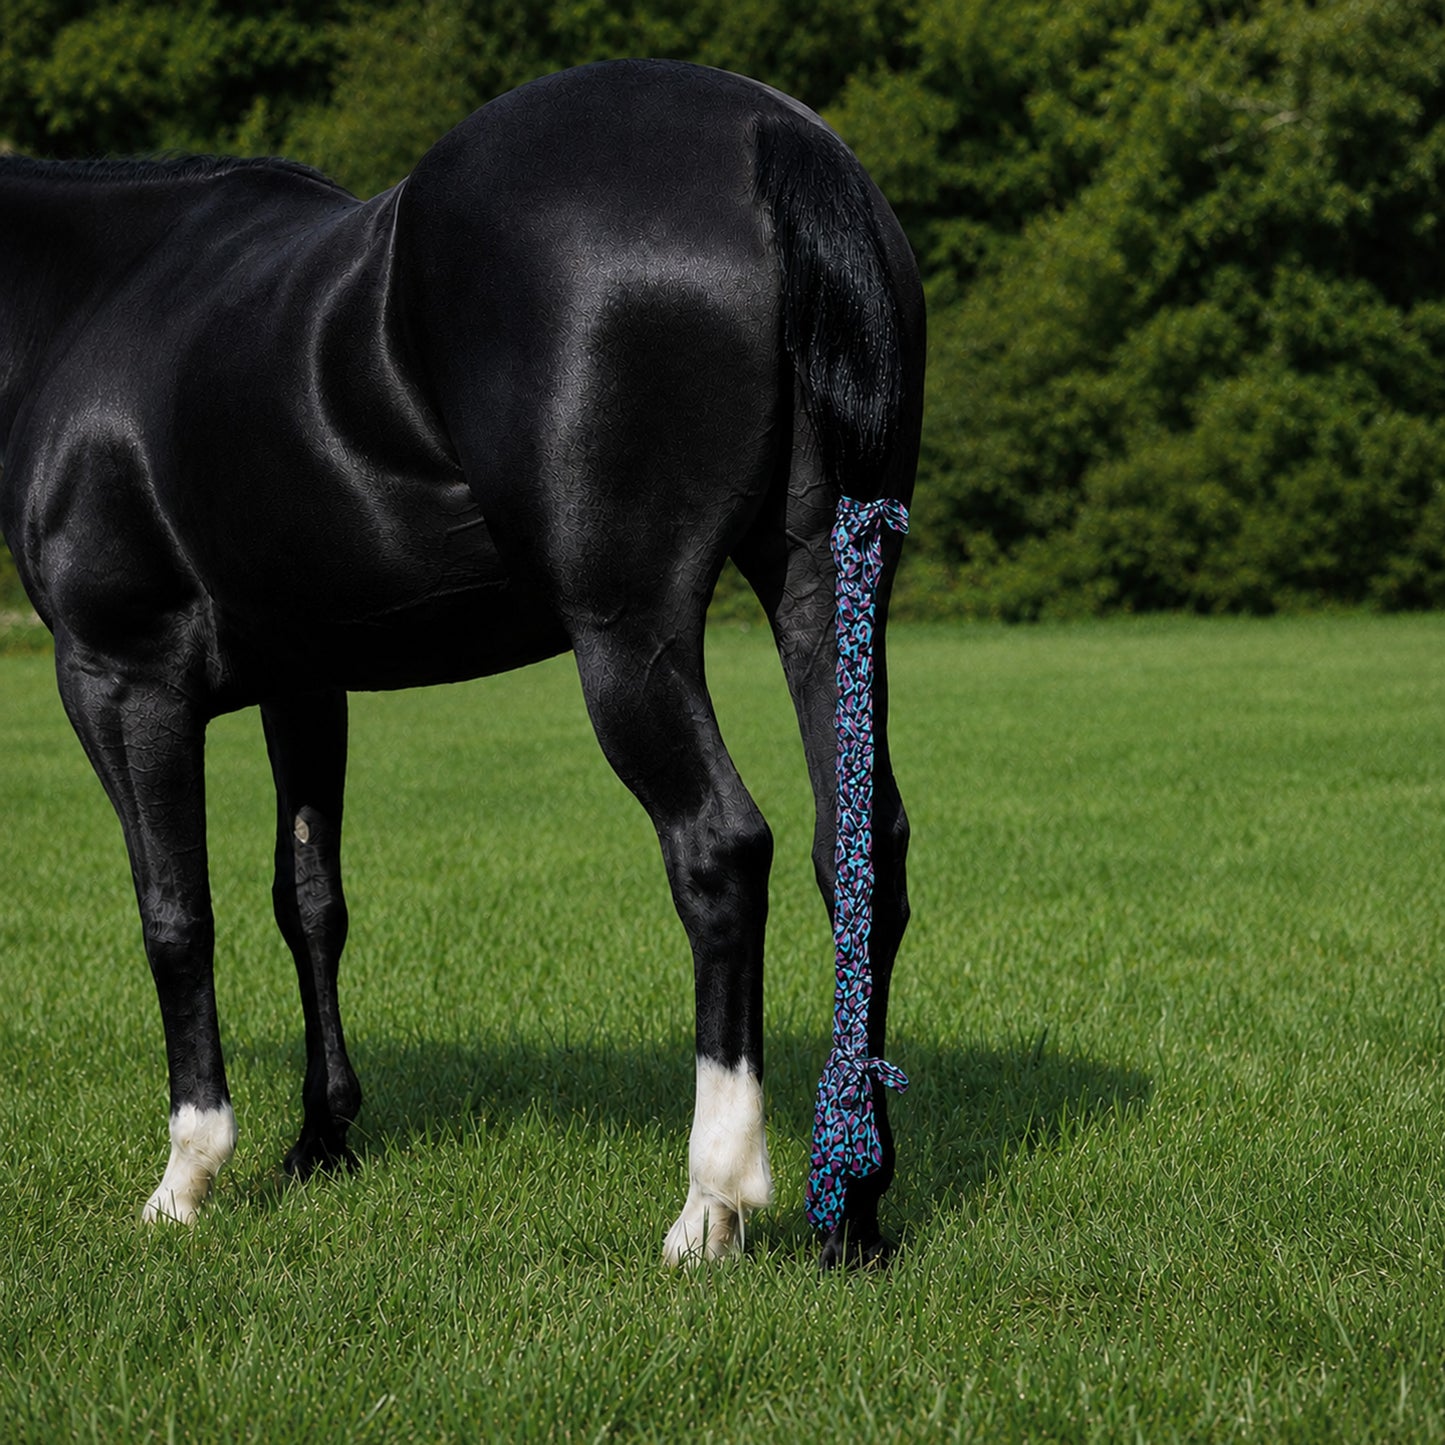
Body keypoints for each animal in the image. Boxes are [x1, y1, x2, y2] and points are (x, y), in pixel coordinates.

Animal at [0, 59, 923, 1268]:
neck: (89, 298)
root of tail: (769, 133)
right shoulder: (307, 681)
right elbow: (309, 897)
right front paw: (320, 1141)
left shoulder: (120, 677)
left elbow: (174, 912)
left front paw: (188, 1175)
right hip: (824, 581)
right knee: (858, 849)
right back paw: (852, 1201)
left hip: (627, 635)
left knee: (721, 849)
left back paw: (710, 1200)